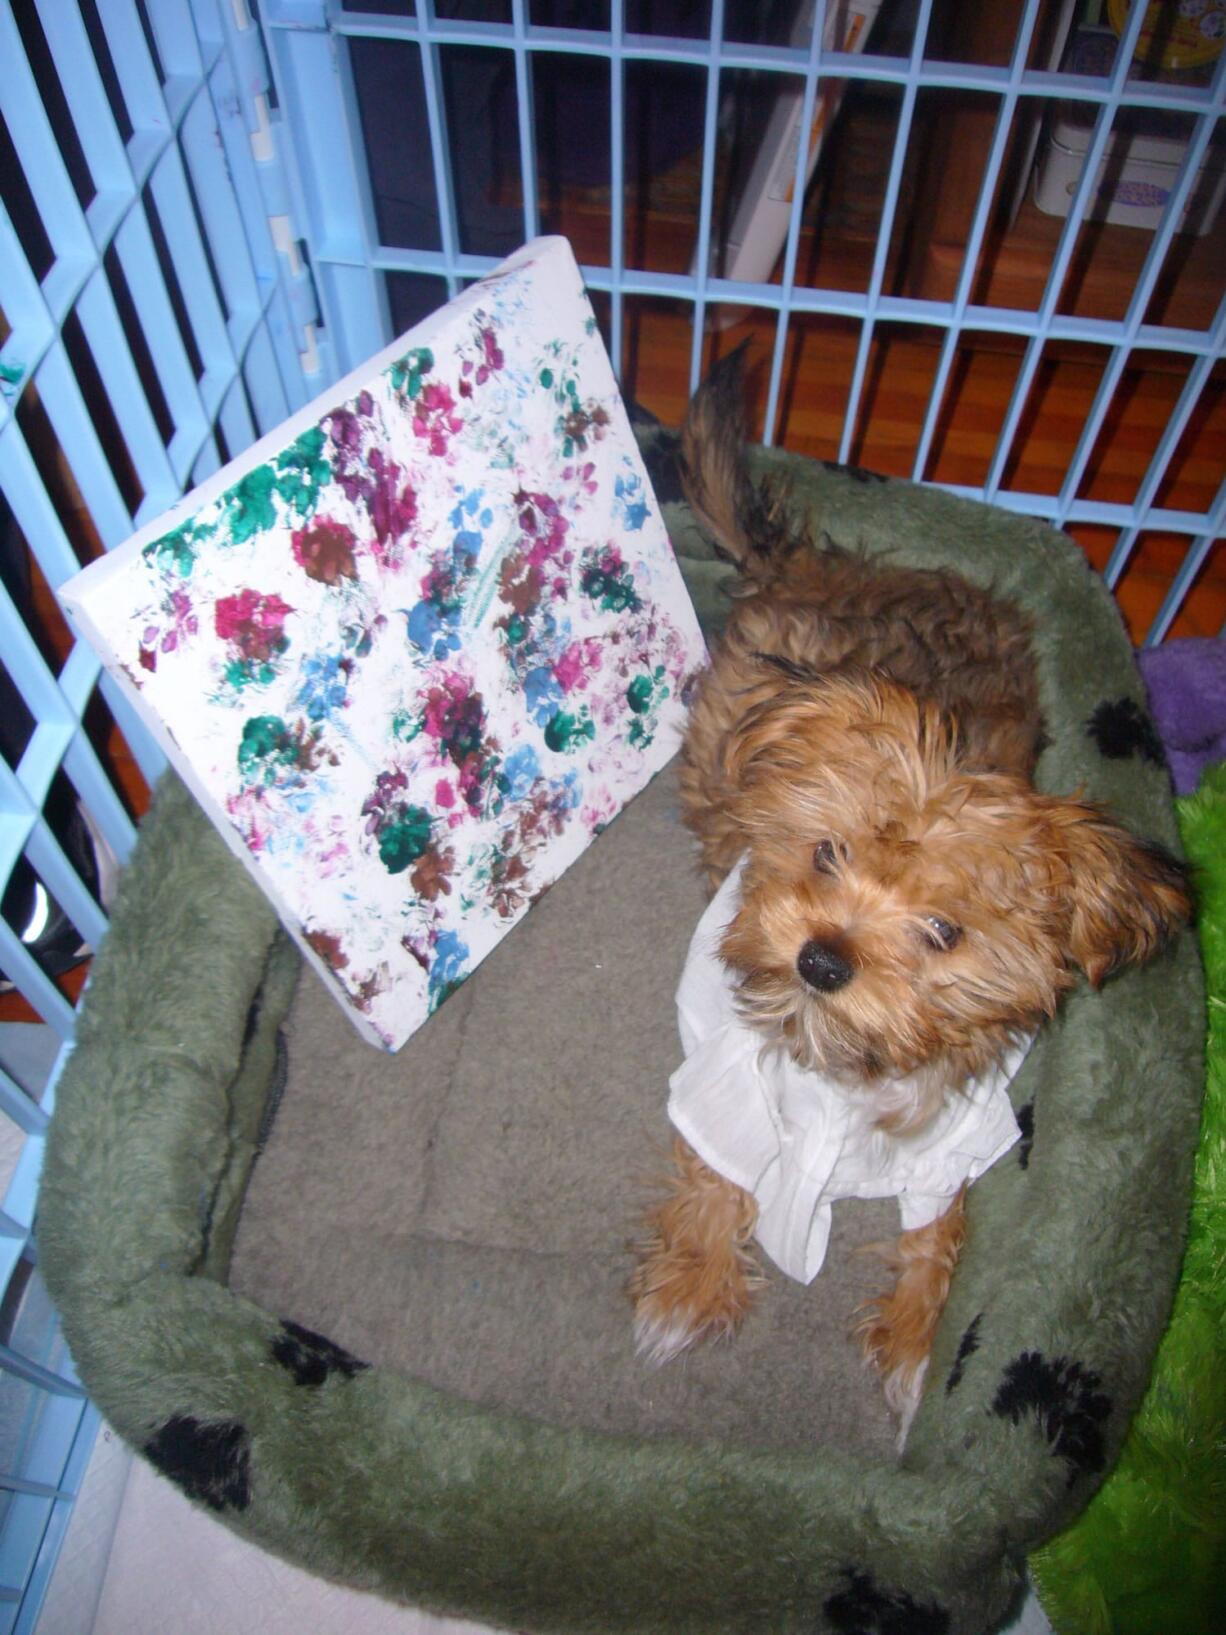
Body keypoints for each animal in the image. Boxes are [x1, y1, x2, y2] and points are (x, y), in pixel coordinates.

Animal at [634, 358, 1190, 1432]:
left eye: (943, 929)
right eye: (826, 853)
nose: (820, 957)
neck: (849, 1069)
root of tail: (810, 571)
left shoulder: (961, 1138)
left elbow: (946, 1229)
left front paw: (920, 1342)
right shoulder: (727, 1078)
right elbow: (716, 1167)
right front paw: (690, 1282)